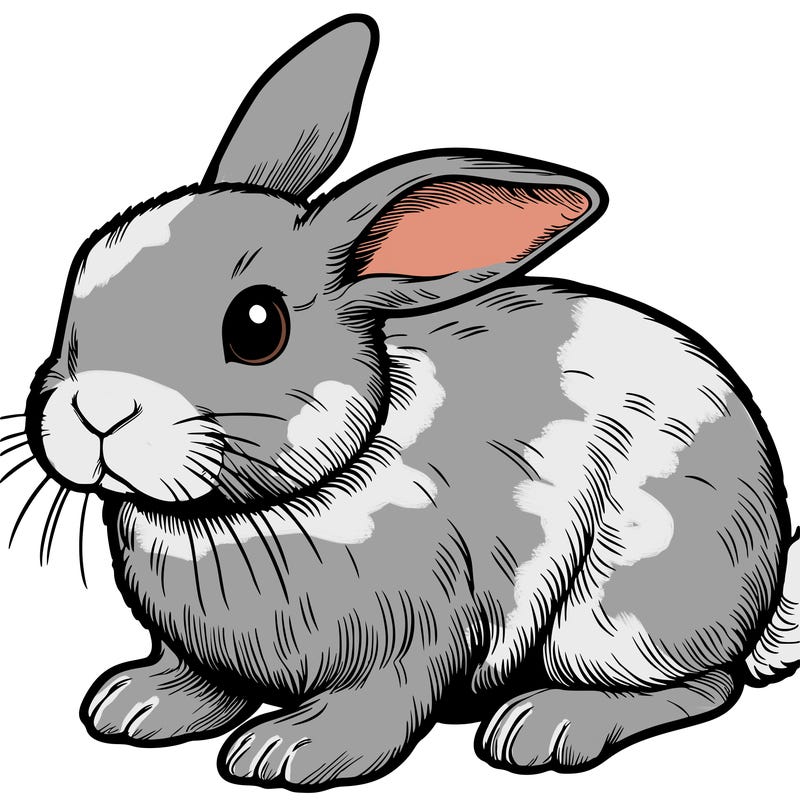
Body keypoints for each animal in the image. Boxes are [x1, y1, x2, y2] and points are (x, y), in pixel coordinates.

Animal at [10, 12, 799, 792]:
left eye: (257, 326)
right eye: (82, 272)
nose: (98, 410)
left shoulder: (416, 637)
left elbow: (382, 704)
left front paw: (289, 751)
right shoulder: (202, 650)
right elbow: (201, 679)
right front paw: (136, 705)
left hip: (619, 613)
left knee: (706, 685)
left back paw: (546, 725)